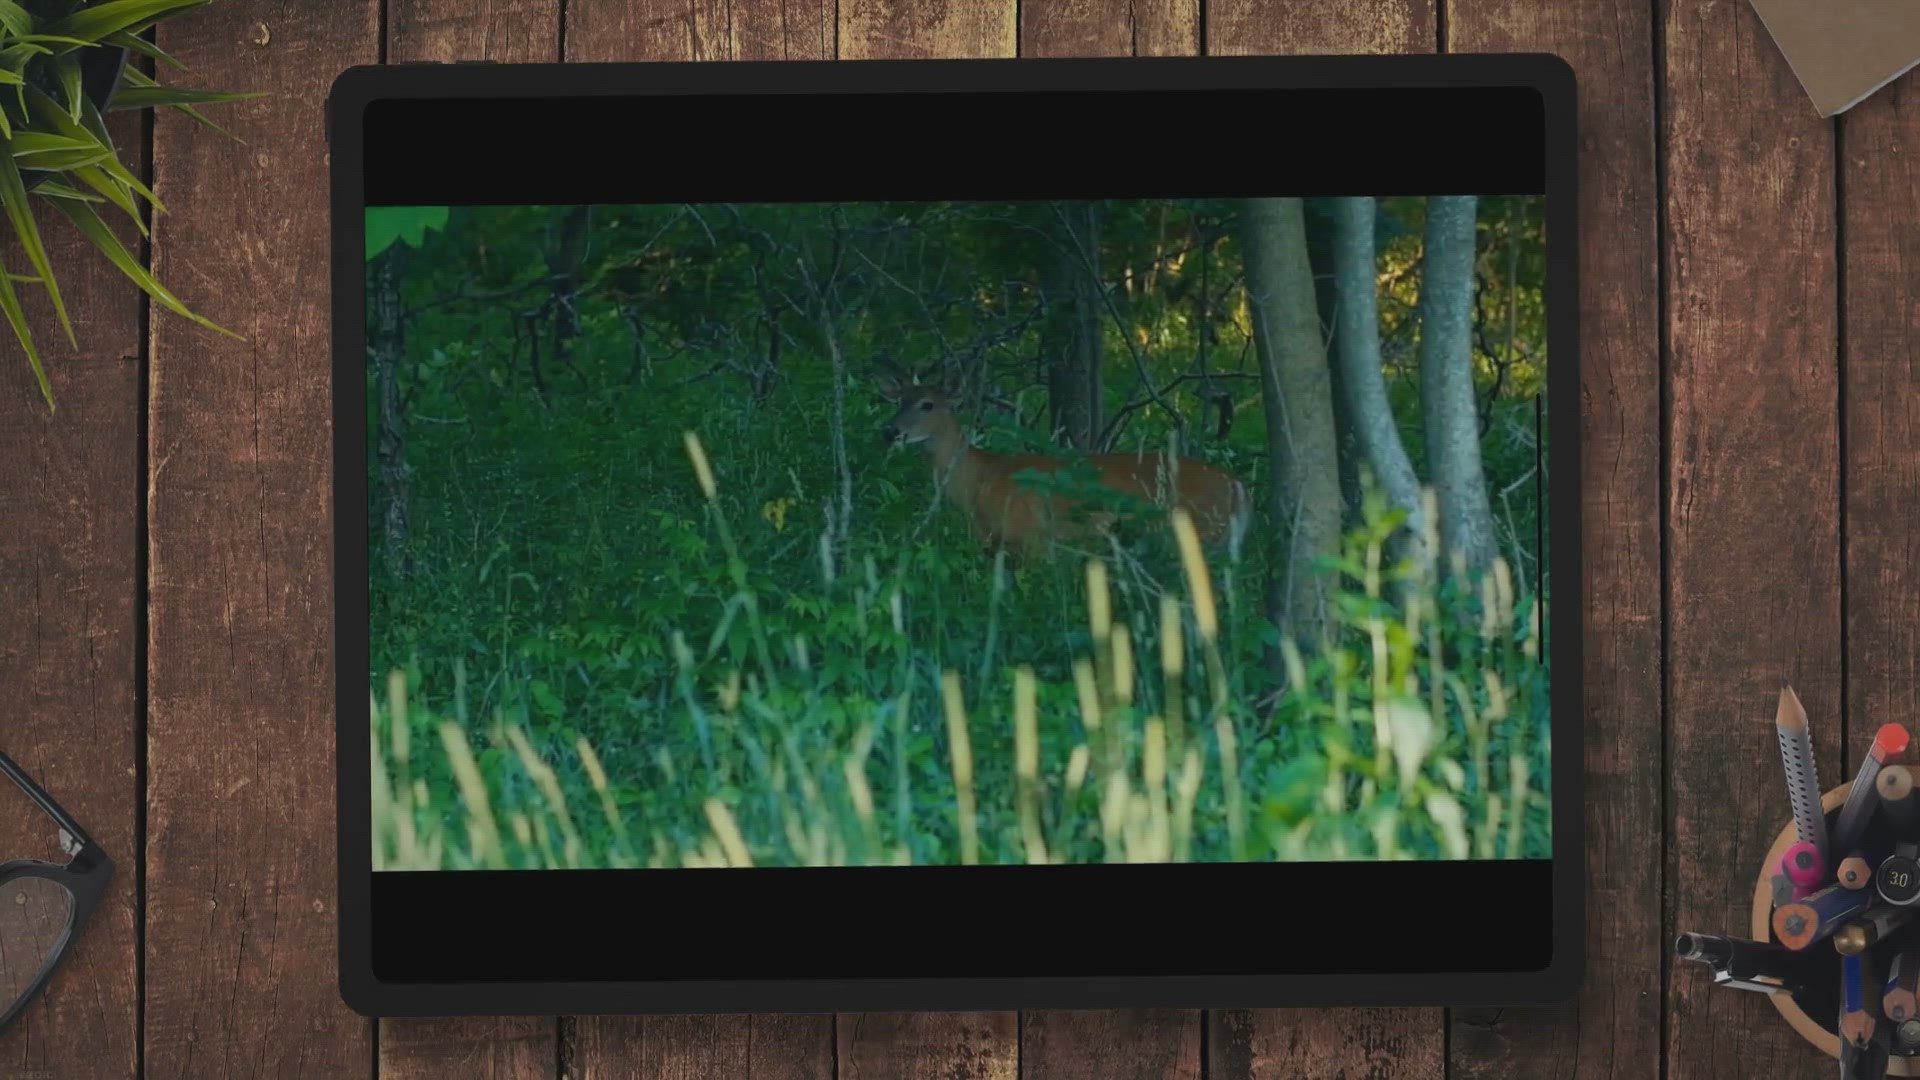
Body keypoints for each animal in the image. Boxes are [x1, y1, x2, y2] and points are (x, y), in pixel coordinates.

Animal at [875, 360, 1250, 562]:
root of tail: (1237, 486)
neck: (979, 480)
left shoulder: (1032, 538)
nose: (890, 431)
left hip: (1195, 532)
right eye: (899, 400)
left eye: (927, 404)